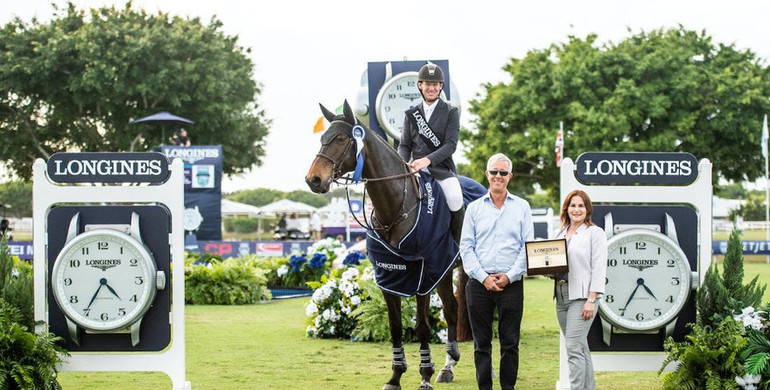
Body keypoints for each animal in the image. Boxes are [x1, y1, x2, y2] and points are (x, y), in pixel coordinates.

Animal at [304, 101, 462, 390]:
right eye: (322, 139)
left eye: (341, 138)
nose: (314, 180)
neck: (396, 206)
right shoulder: (390, 275)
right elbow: (395, 326)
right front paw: (396, 376)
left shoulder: (422, 277)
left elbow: (422, 326)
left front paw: (425, 376)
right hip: (443, 272)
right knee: (451, 309)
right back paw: (448, 366)